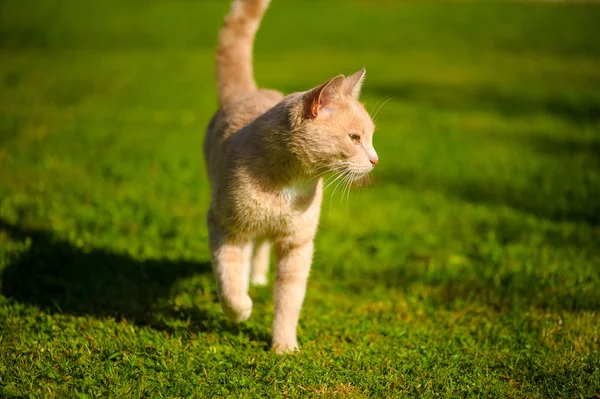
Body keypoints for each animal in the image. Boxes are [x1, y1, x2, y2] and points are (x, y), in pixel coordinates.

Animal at [204, 0, 378, 354]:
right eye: (354, 138)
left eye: (370, 138)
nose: (375, 159)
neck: (287, 186)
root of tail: (247, 92)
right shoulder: (224, 227)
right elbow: (228, 281)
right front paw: (242, 309)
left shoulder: (297, 244)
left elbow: (289, 299)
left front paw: (283, 346)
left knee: (258, 249)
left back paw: (257, 279)